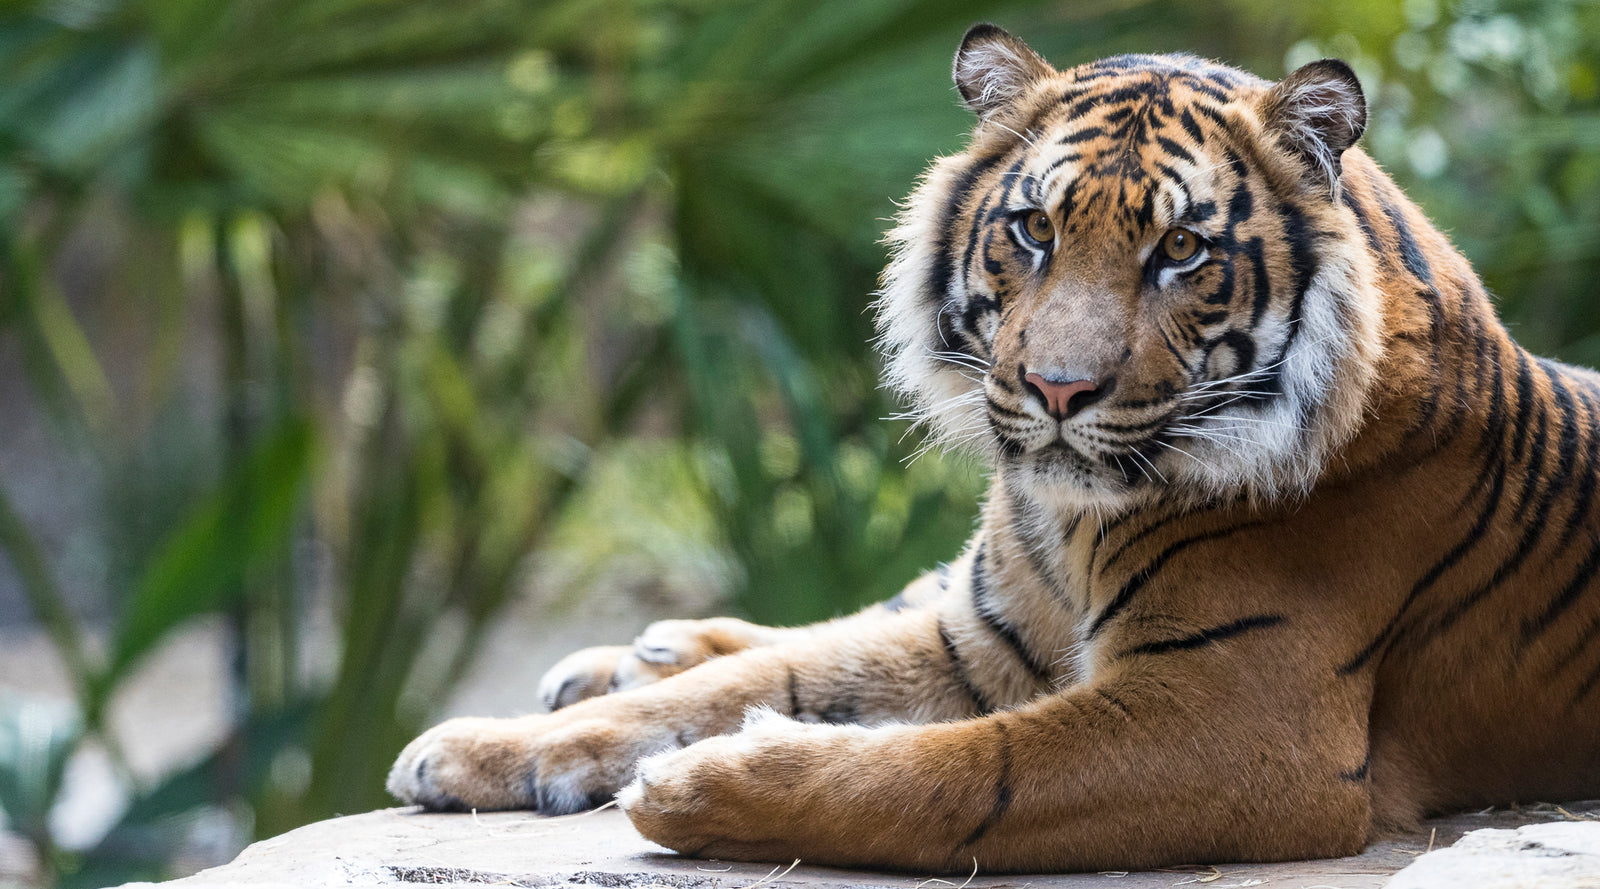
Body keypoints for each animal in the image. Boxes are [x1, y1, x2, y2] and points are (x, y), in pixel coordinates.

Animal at [387, 24, 1600, 873]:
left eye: (1182, 249)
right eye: (1034, 229)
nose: (1058, 389)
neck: (1070, 520)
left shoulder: (1241, 720)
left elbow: (959, 771)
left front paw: (692, 786)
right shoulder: (987, 637)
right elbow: (765, 678)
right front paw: (473, 748)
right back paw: (633, 651)